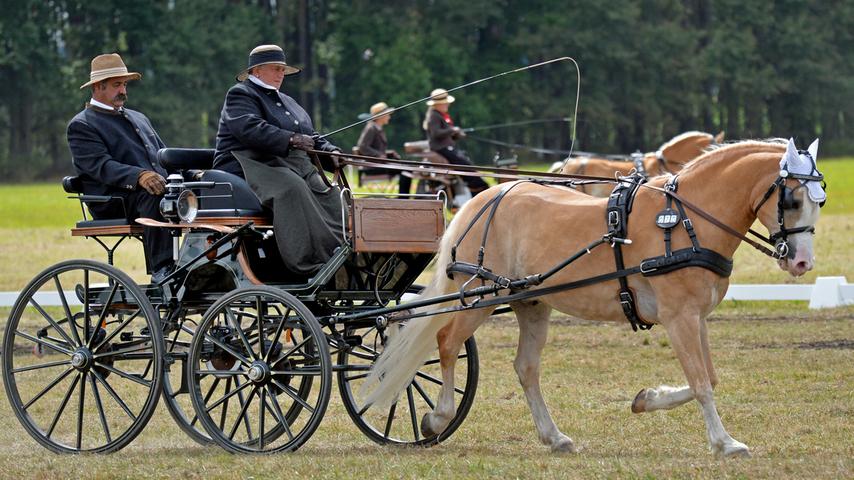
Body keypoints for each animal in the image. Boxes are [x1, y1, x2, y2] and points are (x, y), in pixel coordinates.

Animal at [362, 138, 828, 458]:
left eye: (819, 202)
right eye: (792, 198)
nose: (802, 262)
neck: (684, 220)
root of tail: (487, 196)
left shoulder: (696, 317)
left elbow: (707, 379)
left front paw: (647, 399)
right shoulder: (678, 317)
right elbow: (699, 382)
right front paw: (725, 443)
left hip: (531, 303)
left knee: (525, 368)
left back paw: (554, 437)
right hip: (479, 297)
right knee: (447, 343)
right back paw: (436, 418)